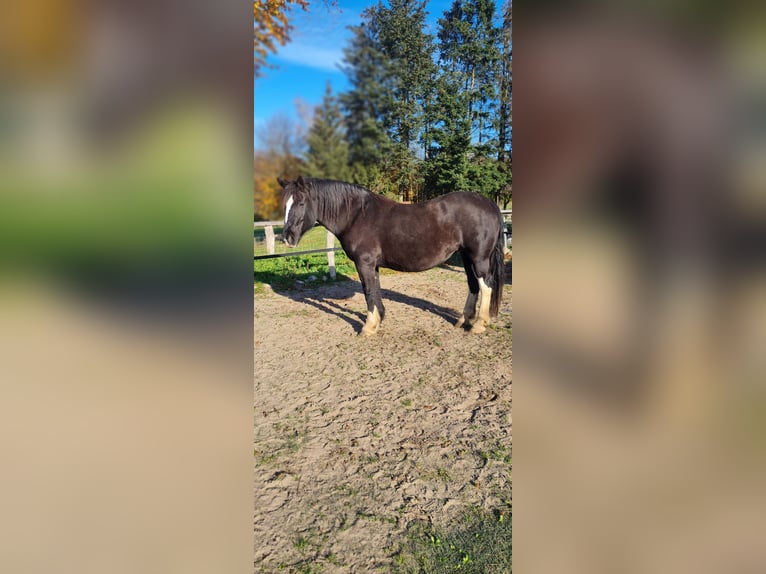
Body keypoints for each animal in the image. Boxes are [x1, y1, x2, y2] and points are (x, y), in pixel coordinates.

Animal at [280, 178, 508, 336]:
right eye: (285, 205)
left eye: (301, 203)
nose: (287, 237)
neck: (357, 215)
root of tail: (489, 204)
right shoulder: (373, 265)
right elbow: (375, 290)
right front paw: (378, 320)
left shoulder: (364, 263)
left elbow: (368, 292)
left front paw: (368, 327)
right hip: (466, 256)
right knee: (473, 285)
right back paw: (463, 320)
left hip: (479, 258)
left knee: (486, 286)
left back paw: (479, 325)